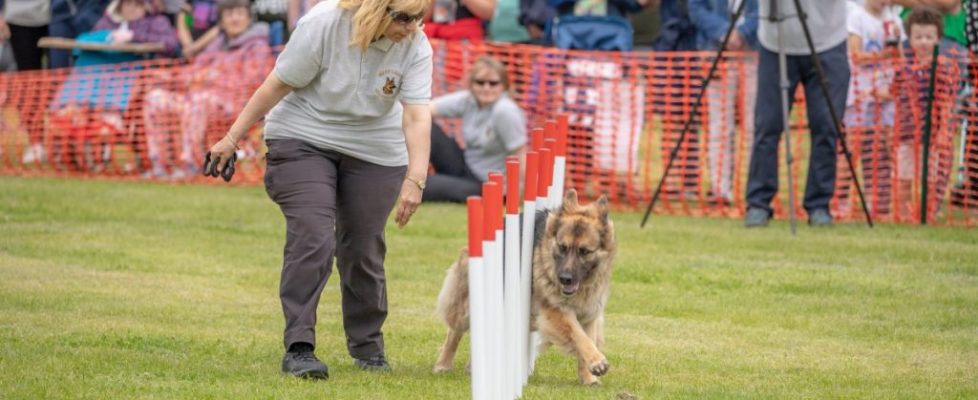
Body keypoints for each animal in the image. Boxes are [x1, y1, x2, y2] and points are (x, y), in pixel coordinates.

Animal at [432, 190, 612, 384]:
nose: (565, 279)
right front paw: (597, 361)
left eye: (584, 251)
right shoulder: (556, 310)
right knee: (454, 332)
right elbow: (578, 335)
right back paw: (443, 364)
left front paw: (589, 377)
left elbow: (587, 339)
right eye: (562, 248)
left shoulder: (590, 313)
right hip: (467, 303)